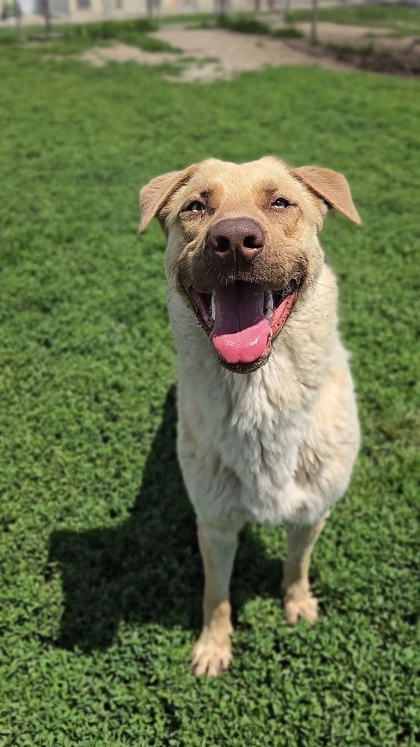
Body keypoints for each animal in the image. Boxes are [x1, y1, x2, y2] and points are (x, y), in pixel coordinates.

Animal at [139, 156, 360, 676]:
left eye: (280, 202)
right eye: (195, 206)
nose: (235, 240)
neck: (260, 400)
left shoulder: (312, 512)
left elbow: (297, 565)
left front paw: (297, 603)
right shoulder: (216, 524)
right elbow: (215, 594)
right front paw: (213, 646)